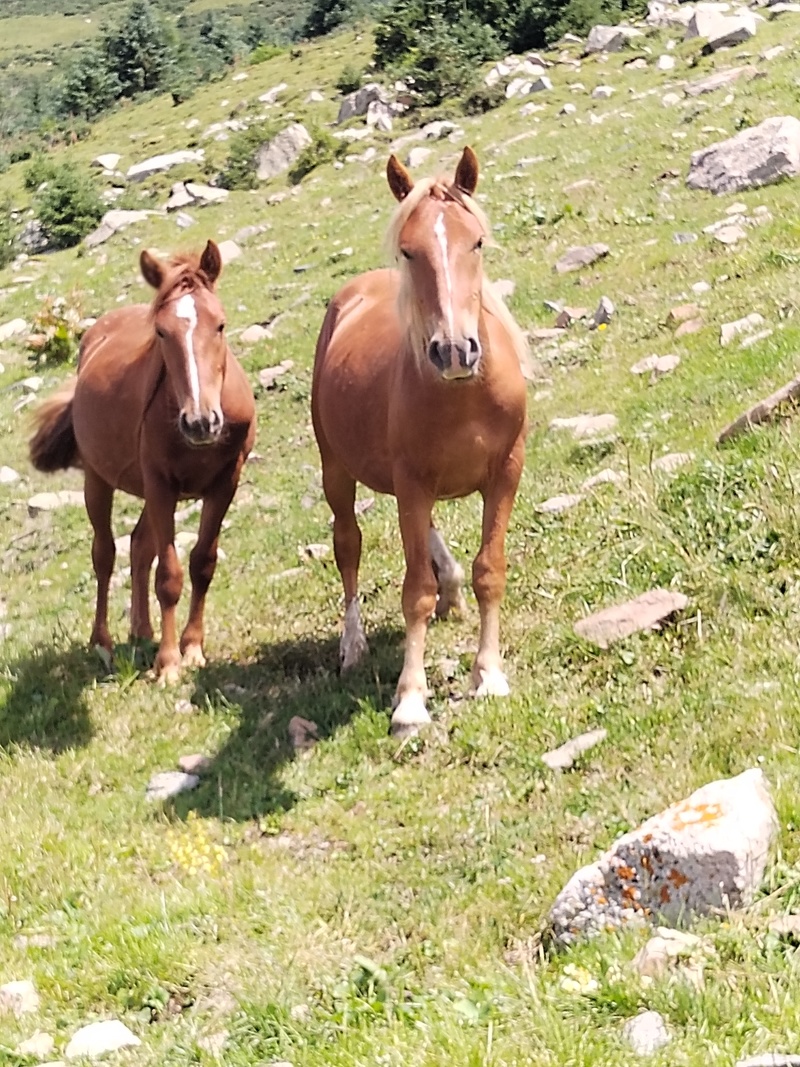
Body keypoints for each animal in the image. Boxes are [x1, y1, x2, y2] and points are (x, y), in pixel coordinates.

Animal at [29, 240, 256, 685]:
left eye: (220, 325)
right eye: (162, 332)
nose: (200, 422)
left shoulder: (225, 481)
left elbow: (202, 563)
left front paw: (192, 649)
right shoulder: (160, 484)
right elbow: (168, 576)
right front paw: (168, 663)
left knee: (137, 546)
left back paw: (142, 630)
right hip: (99, 482)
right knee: (105, 555)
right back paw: (103, 642)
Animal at [311, 146, 528, 737]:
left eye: (476, 241)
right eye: (408, 250)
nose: (454, 350)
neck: (462, 396)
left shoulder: (505, 472)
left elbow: (489, 571)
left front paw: (489, 674)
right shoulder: (410, 481)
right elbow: (415, 593)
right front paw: (410, 700)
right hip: (336, 472)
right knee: (348, 546)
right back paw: (353, 644)